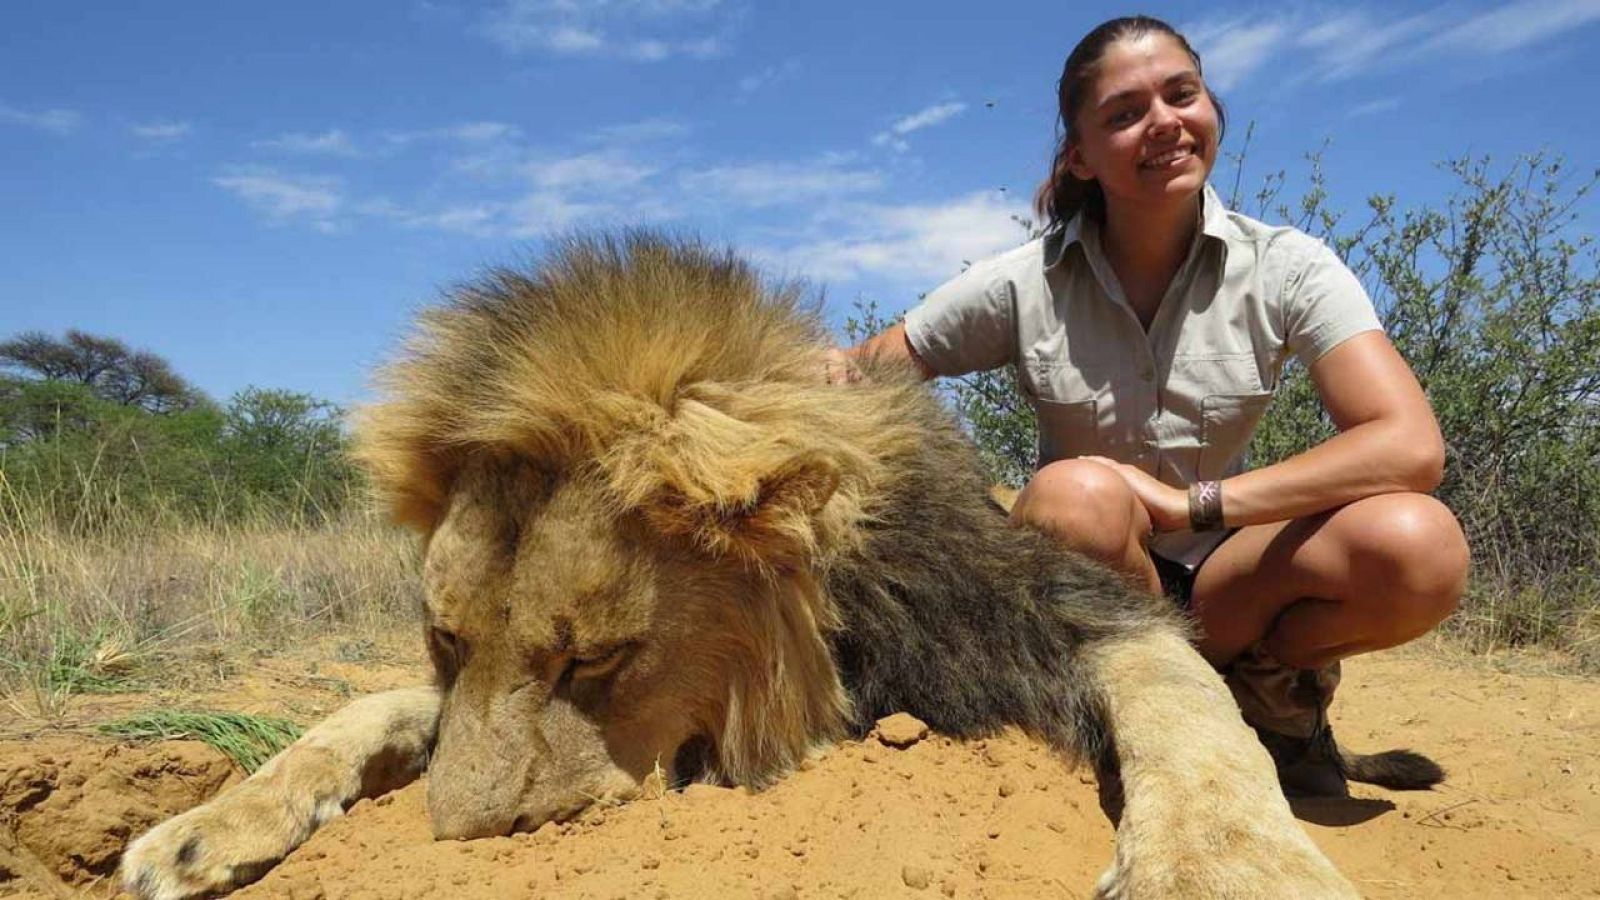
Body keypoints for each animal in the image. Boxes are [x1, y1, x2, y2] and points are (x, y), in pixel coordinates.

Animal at [123, 232, 1368, 898]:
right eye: (443, 637)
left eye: (596, 662)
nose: (458, 844)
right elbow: (367, 707)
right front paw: (200, 828)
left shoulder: (1039, 605)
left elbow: (1180, 695)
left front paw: (1222, 869)